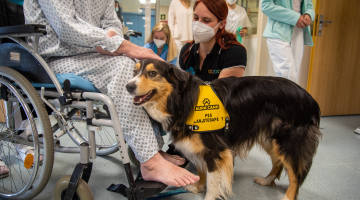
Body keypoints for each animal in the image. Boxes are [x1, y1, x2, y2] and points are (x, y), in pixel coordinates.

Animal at [125, 58, 322, 199]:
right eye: (134, 72)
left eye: (152, 73)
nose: (128, 86)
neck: (183, 101)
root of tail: (311, 99)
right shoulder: (199, 148)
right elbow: (201, 170)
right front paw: (198, 187)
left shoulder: (215, 150)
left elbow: (213, 180)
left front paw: (208, 197)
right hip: (270, 139)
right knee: (278, 163)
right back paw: (266, 180)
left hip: (288, 142)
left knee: (295, 175)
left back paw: (287, 197)